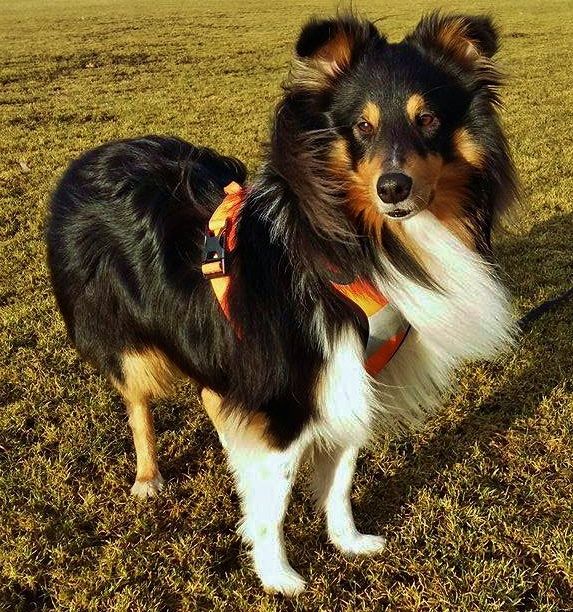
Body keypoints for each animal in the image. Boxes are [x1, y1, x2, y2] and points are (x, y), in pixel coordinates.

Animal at [47, 11, 516, 596]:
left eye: (427, 119)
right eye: (361, 128)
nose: (393, 187)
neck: (361, 242)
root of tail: (88, 160)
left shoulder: (343, 381)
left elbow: (340, 480)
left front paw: (347, 541)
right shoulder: (288, 397)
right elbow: (273, 503)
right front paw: (278, 577)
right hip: (127, 346)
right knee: (138, 409)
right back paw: (149, 477)